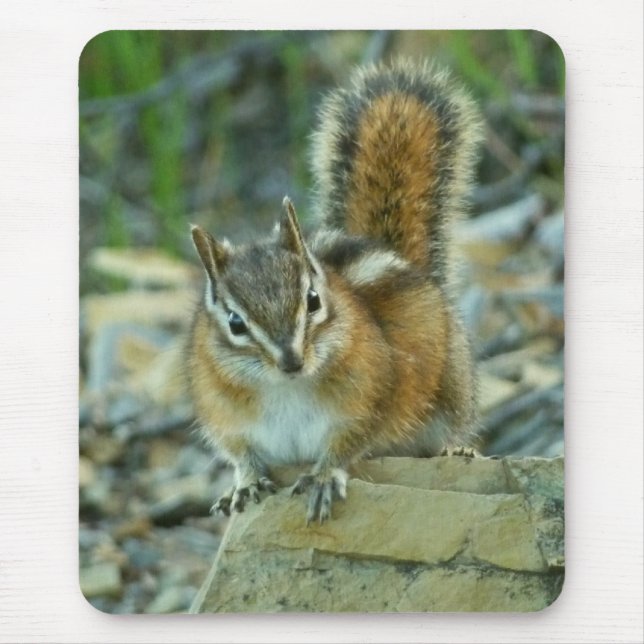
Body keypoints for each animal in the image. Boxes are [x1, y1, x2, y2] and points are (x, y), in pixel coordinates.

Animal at [187, 60, 483, 524]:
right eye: (235, 322)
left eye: (312, 301)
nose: (291, 361)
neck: (285, 388)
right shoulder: (225, 417)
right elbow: (240, 454)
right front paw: (245, 483)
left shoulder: (369, 400)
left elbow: (347, 444)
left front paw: (324, 476)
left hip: (453, 388)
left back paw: (457, 449)